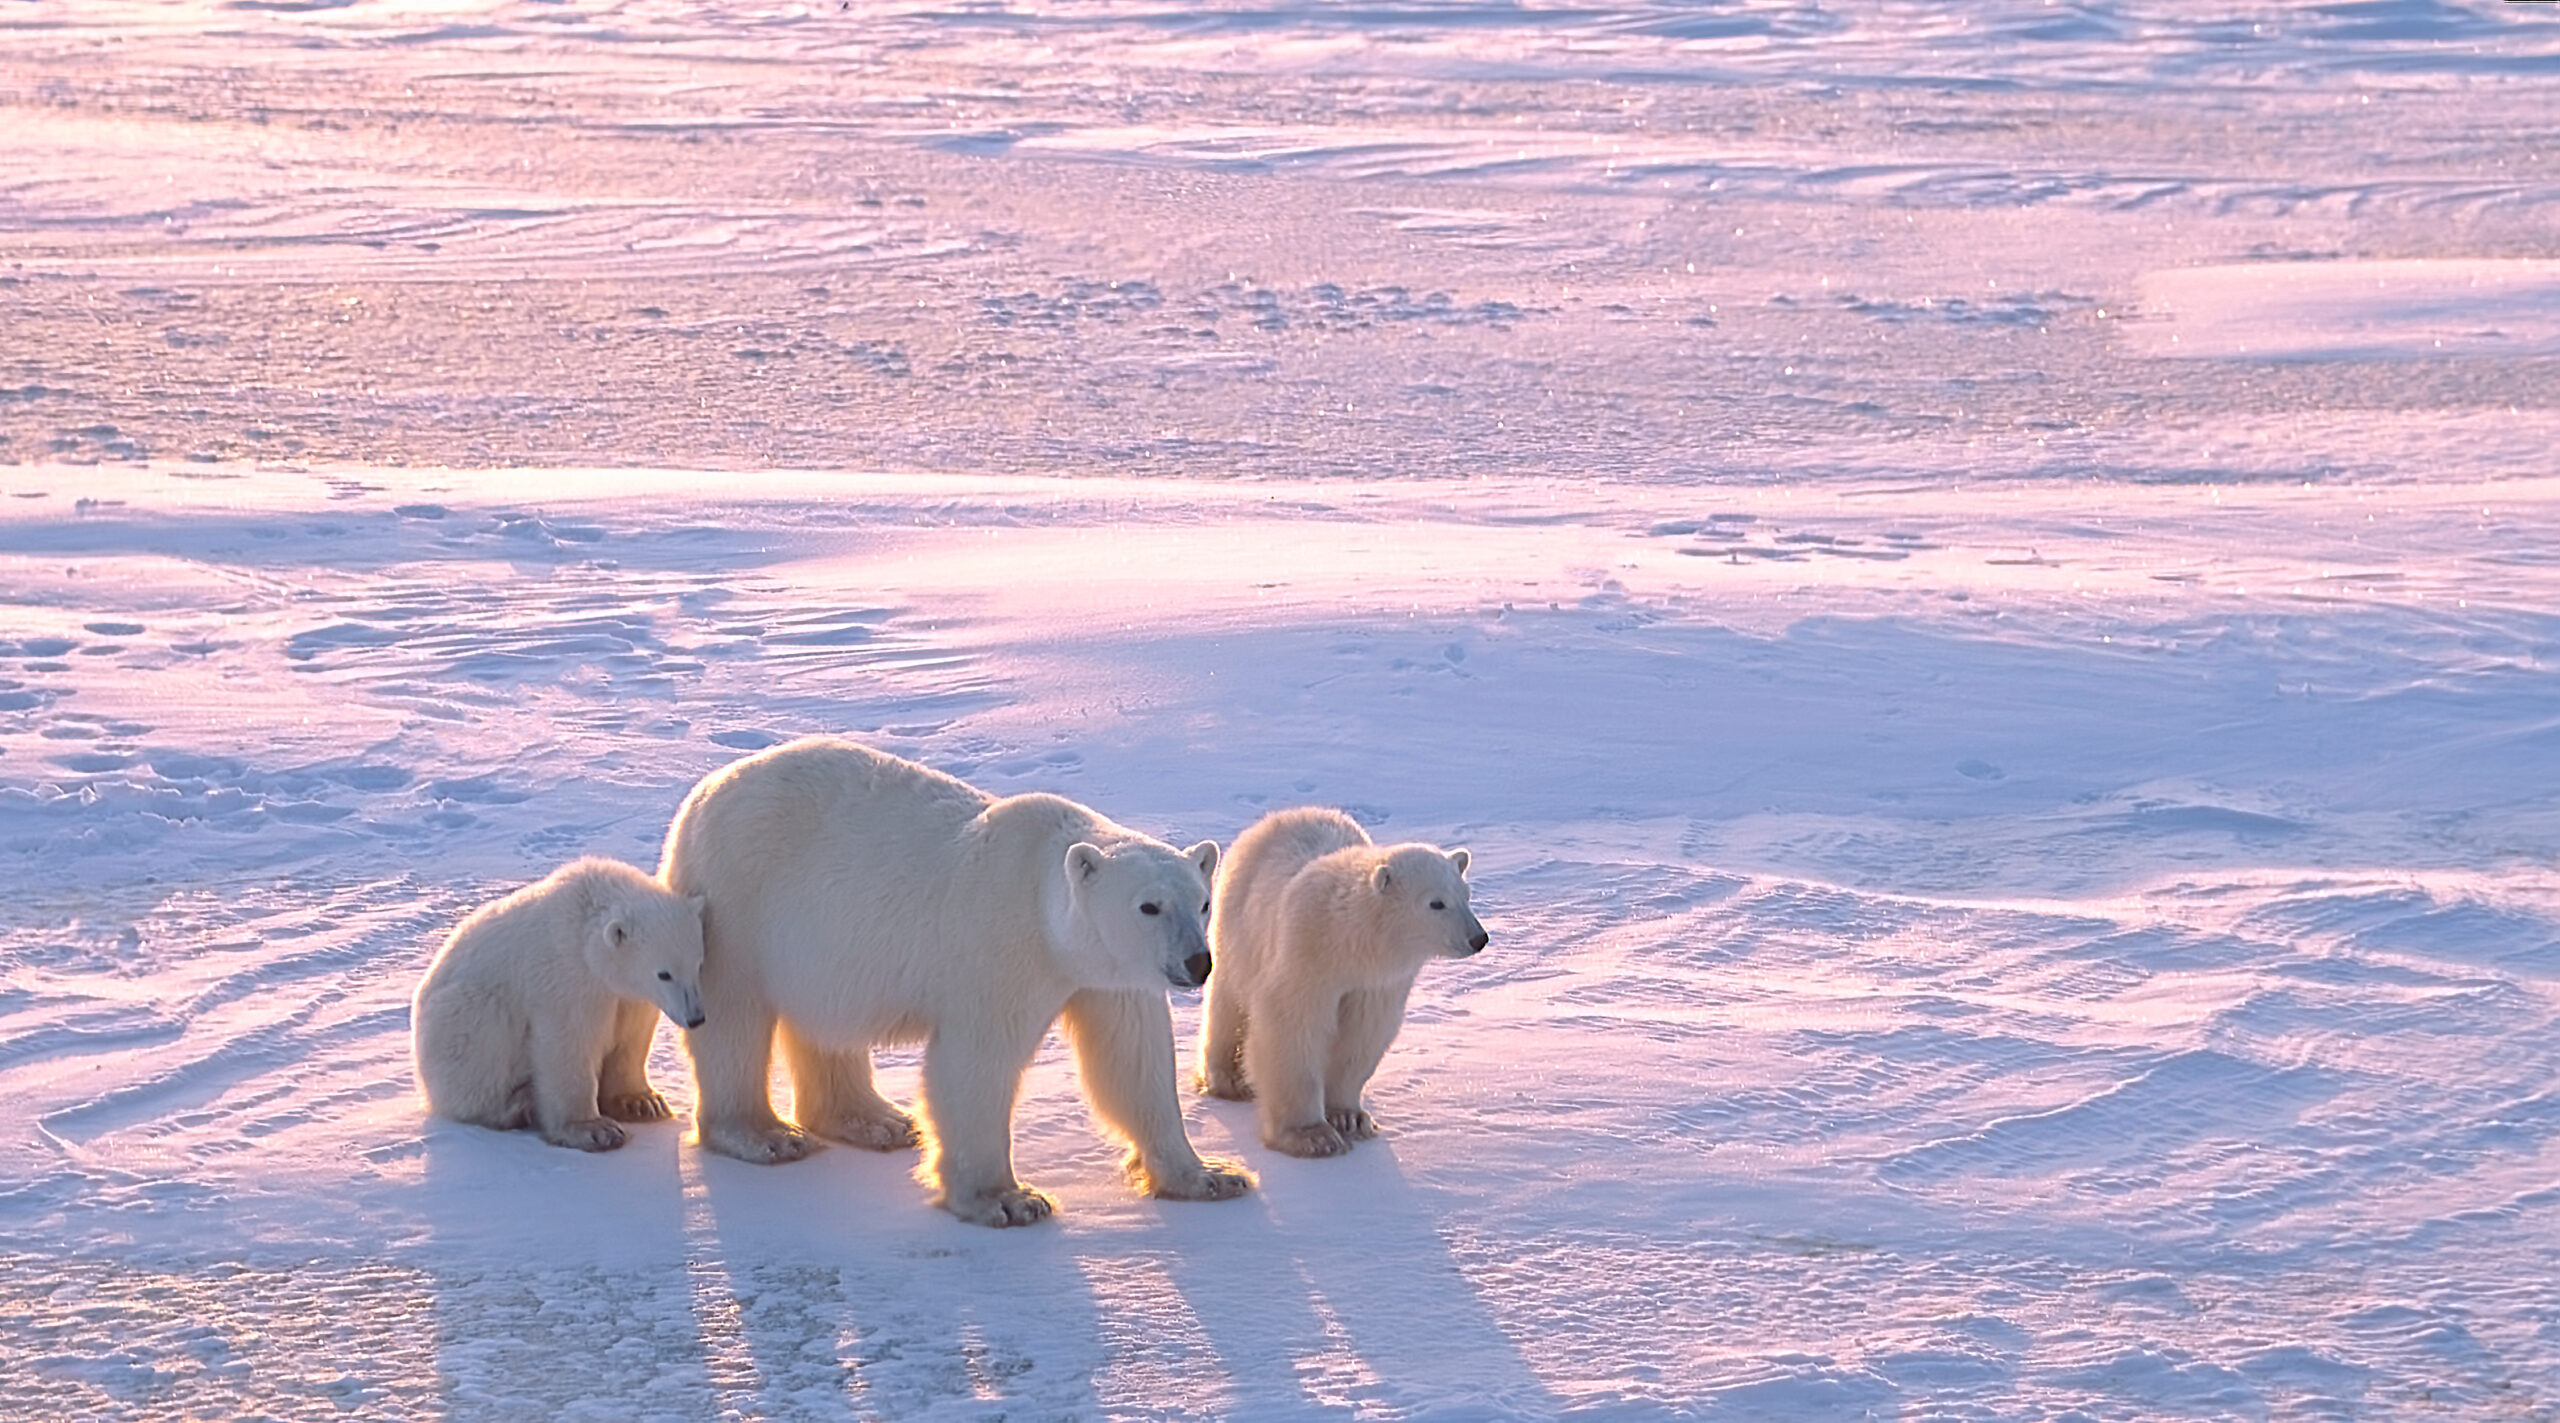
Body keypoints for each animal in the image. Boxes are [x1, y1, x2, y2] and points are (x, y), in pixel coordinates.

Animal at [660, 731, 1249, 1223]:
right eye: (1148, 906)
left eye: (1202, 902)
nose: (1198, 963)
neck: (1043, 901)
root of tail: (703, 792)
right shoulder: (1001, 949)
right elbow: (976, 1063)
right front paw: (1007, 1200)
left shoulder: (1108, 976)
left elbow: (1132, 1061)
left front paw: (1211, 1177)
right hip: (739, 901)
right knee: (735, 1019)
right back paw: (766, 1135)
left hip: (816, 942)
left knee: (826, 1024)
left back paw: (878, 1121)